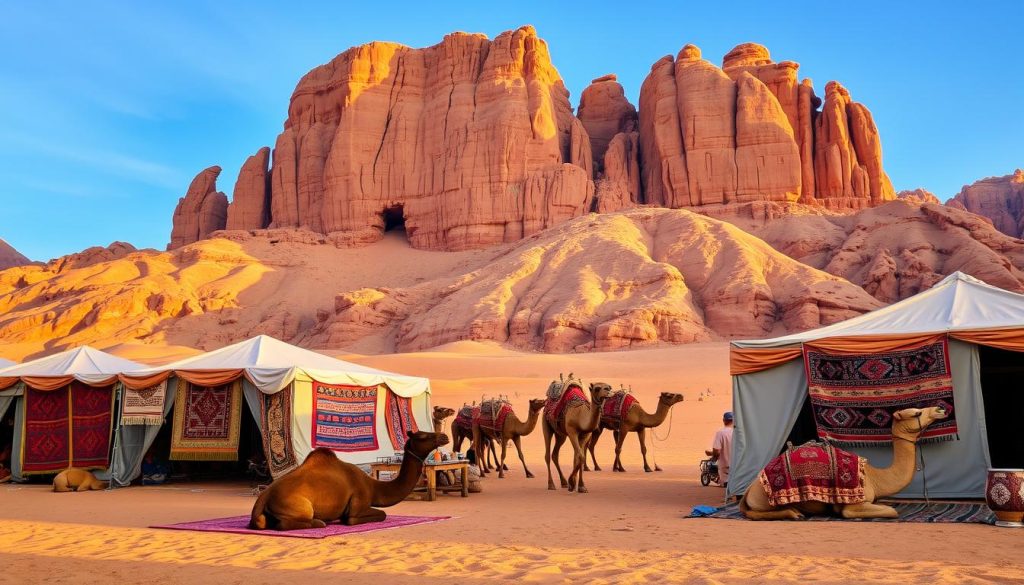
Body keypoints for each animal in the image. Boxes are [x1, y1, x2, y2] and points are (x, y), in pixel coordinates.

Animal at [249, 430, 446, 532]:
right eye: (423, 436)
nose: (443, 436)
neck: (373, 486)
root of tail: (262, 498)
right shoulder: (359, 502)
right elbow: (377, 515)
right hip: (300, 506)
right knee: (286, 523)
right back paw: (320, 522)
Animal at [741, 407, 946, 522]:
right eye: (917, 412)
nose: (940, 409)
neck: (874, 477)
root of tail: (749, 490)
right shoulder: (855, 503)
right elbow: (891, 511)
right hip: (765, 500)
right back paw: (794, 513)